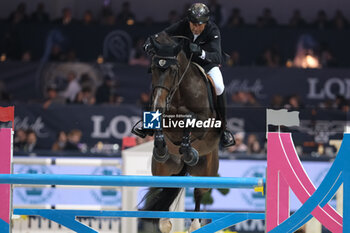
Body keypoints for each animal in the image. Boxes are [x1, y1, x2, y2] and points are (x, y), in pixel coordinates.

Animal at [142, 31, 219, 233]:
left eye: (172, 70)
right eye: (153, 68)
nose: (158, 104)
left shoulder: (203, 121)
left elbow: (188, 121)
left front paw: (189, 151)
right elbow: (161, 123)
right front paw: (161, 147)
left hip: (206, 172)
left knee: (199, 193)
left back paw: (194, 224)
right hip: (163, 170)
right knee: (166, 186)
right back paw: (163, 221)